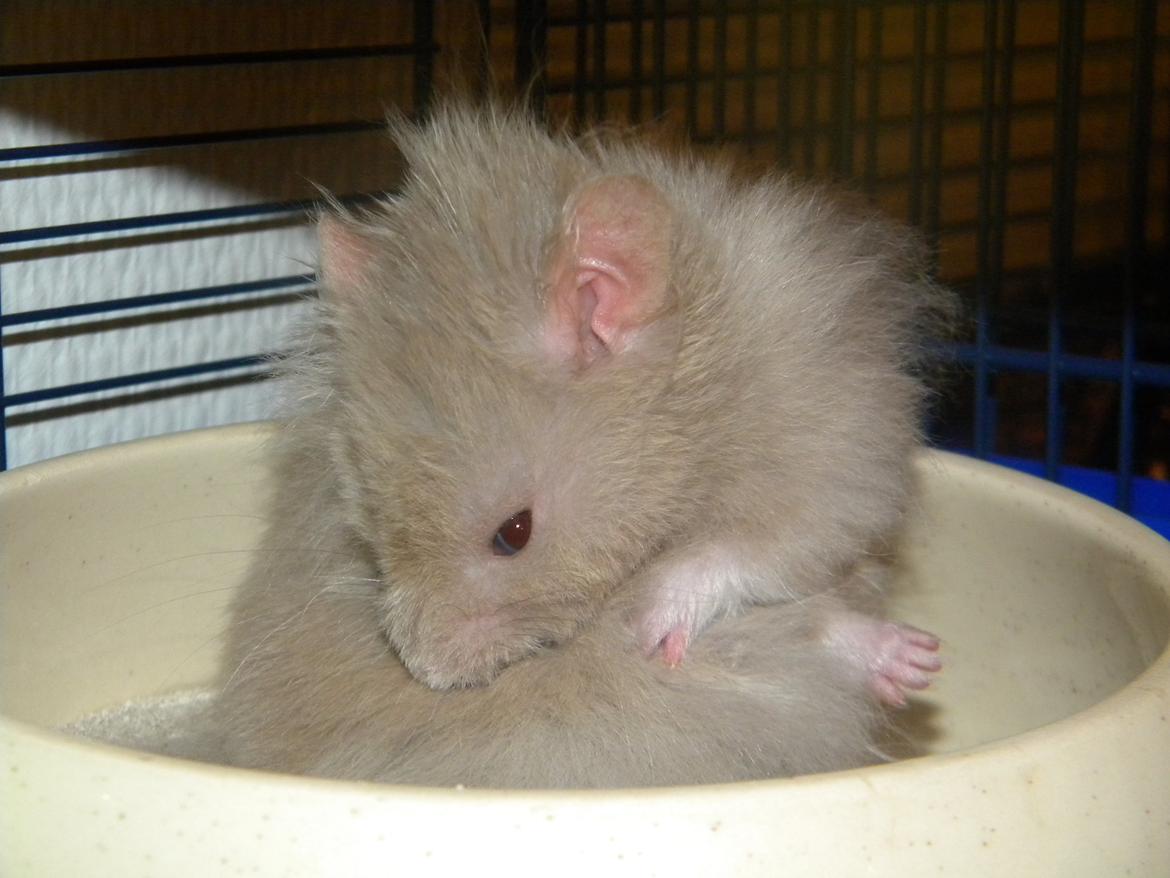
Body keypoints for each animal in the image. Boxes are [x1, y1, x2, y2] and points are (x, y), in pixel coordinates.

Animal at [215, 102, 952, 787]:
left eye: (514, 533)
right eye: (370, 519)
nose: (429, 675)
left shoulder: (835, 459)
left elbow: (741, 553)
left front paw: (653, 624)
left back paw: (913, 659)